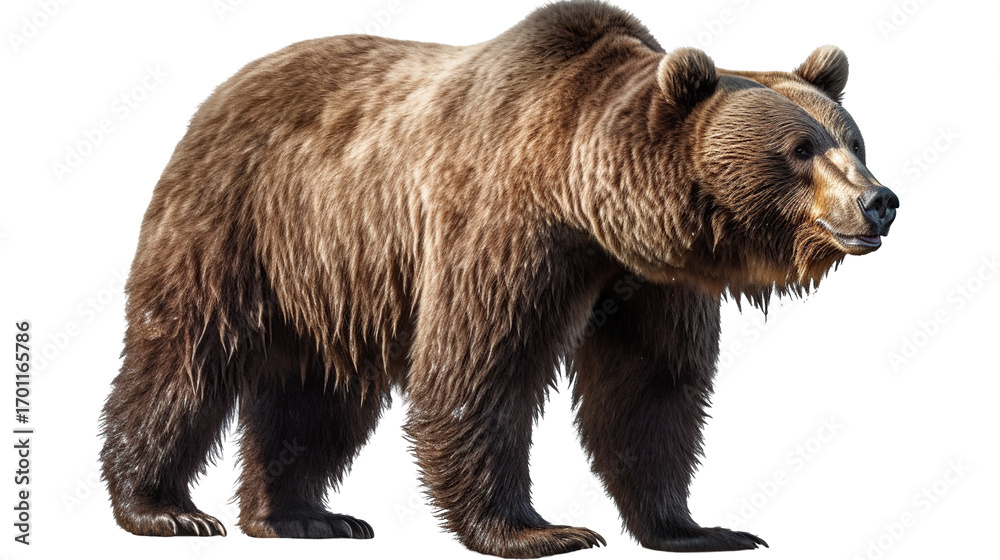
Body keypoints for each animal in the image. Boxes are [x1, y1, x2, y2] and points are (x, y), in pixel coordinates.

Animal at [99, 0, 898, 557]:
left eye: (853, 139)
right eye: (799, 149)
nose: (879, 201)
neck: (587, 201)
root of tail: (226, 88)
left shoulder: (652, 283)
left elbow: (652, 390)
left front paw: (697, 528)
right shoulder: (502, 226)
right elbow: (481, 370)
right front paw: (539, 530)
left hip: (331, 277)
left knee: (318, 395)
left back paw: (301, 515)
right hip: (241, 219)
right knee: (182, 357)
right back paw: (166, 508)